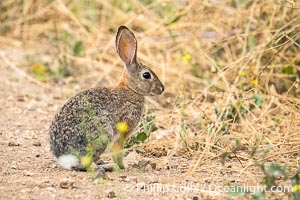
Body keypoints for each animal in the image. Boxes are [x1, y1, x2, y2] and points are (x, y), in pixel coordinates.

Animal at [50, 25, 165, 171]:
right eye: (146, 75)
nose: (162, 89)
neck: (130, 89)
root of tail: (65, 157)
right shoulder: (122, 131)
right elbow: (117, 151)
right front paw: (123, 166)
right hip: (103, 132)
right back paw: (108, 166)